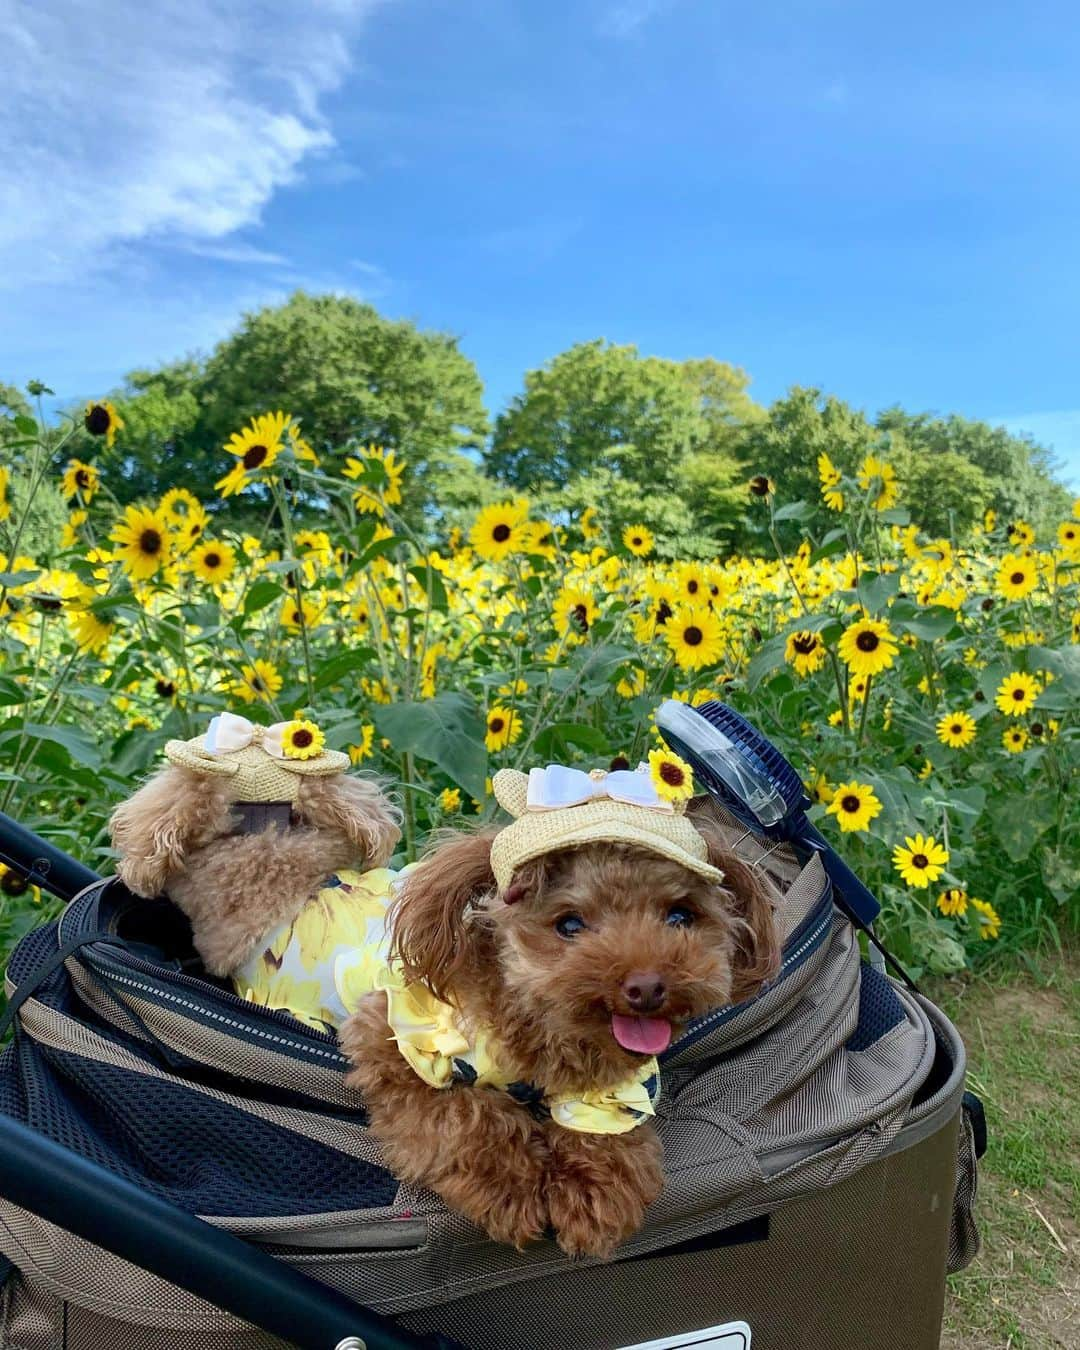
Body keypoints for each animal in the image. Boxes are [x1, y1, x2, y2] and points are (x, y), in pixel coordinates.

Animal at [340, 772, 777, 1263]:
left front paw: (593, 1197)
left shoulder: (612, 1090)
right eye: (569, 925)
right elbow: (459, 1113)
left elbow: (604, 1135)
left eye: (680, 916)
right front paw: (511, 1188)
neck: (537, 1025)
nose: (647, 987)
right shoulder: (390, 1040)